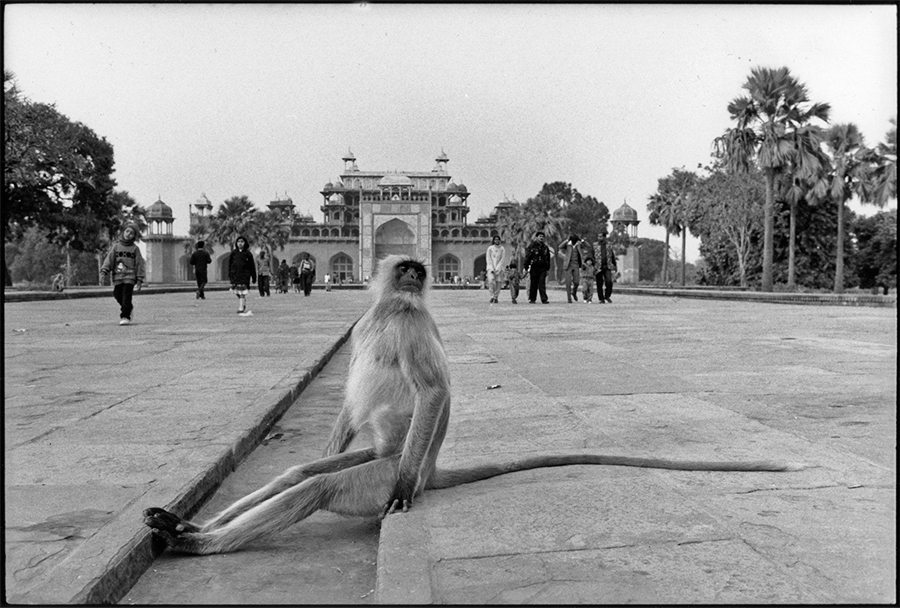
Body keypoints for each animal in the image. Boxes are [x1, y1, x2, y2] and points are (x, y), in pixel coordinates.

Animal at [144, 254, 804, 552]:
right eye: (405, 269)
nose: (417, 275)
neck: (392, 309)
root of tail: (431, 467)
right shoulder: (375, 321)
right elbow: (350, 402)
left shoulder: (412, 325)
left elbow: (436, 390)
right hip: (374, 454)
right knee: (300, 472)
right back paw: (185, 523)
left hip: (385, 469)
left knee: (318, 486)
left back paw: (195, 541)